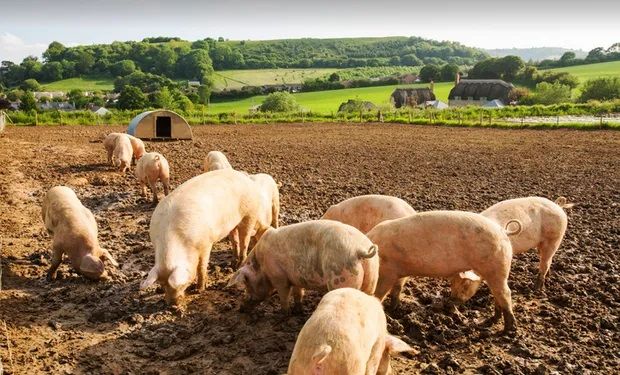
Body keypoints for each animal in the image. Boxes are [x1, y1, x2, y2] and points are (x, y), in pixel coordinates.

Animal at [140, 170, 268, 306]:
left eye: (181, 285)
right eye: (162, 285)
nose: (172, 303)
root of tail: (244, 176)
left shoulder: (206, 243)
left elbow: (201, 267)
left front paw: (199, 290)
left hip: (249, 214)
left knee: (245, 240)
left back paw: (239, 264)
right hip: (232, 224)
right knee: (235, 240)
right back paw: (233, 264)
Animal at [228, 220, 378, 314]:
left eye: (247, 284)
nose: (241, 309)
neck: (261, 264)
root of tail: (359, 250)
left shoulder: (279, 277)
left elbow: (284, 295)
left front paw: (284, 314)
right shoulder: (296, 277)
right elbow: (298, 293)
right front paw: (297, 311)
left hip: (341, 277)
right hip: (372, 277)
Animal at [286, 290, 414, 374]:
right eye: (389, 356)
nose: (391, 371)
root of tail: (317, 358)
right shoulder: (376, 348)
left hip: (295, 366)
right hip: (350, 367)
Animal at [368, 212, 524, 334]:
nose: (449, 302)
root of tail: (503, 231)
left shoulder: (388, 271)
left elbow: (380, 293)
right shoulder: (400, 271)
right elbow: (397, 289)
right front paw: (394, 309)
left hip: (496, 266)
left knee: (505, 293)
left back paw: (508, 330)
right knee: (497, 294)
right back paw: (492, 320)